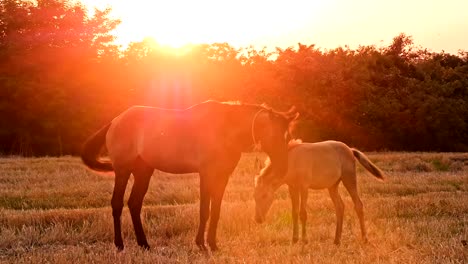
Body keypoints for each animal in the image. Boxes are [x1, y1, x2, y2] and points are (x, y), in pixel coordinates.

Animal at [80, 101, 296, 252]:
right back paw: (119, 245)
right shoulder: (206, 174)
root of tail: (115, 121)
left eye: (288, 136)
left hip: (143, 172)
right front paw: (201, 244)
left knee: (134, 204)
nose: (283, 169)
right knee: (117, 203)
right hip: (123, 170)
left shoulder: (222, 177)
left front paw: (213, 244)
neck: (224, 129)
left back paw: (144, 244)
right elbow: (204, 211)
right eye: (275, 136)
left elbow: (216, 212)